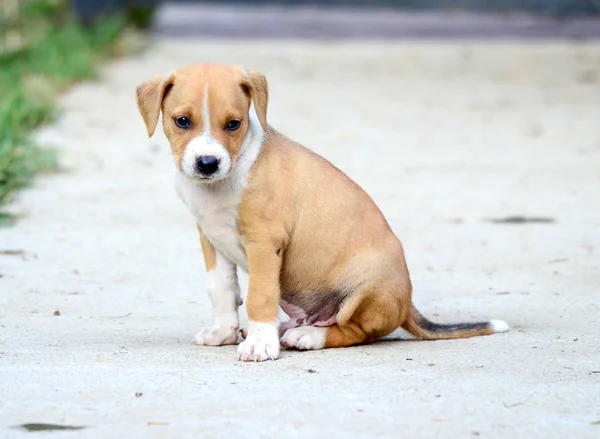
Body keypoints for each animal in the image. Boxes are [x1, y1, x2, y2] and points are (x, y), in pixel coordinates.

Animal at [137, 63, 510, 362]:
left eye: (233, 124)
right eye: (182, 121)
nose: (207, 163)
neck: (224, 181)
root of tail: (408, 306)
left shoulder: (264, 242)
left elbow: (259, 295)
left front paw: (259, 345)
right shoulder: (211, 238)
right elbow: (222, 290)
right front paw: (224, 332)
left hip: (367, 283)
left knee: (356, 331)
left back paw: (307, 335)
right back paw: (287, 328)